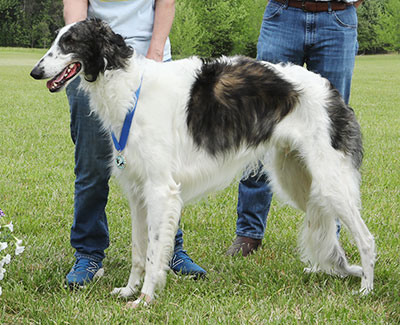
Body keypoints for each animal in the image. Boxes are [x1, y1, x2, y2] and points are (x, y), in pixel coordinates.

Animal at [30, 18, 376, 306]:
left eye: (70, 42)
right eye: (56, 38)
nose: (35, 72)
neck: (129, 88)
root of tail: (330, 90)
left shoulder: (161, 189)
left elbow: (154, 252)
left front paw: (144, 299)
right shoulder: (138, 192)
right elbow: (139, 251)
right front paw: (129, 290)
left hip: (329, 181)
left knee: (366, 239)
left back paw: (366, 290)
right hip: (299, 180)